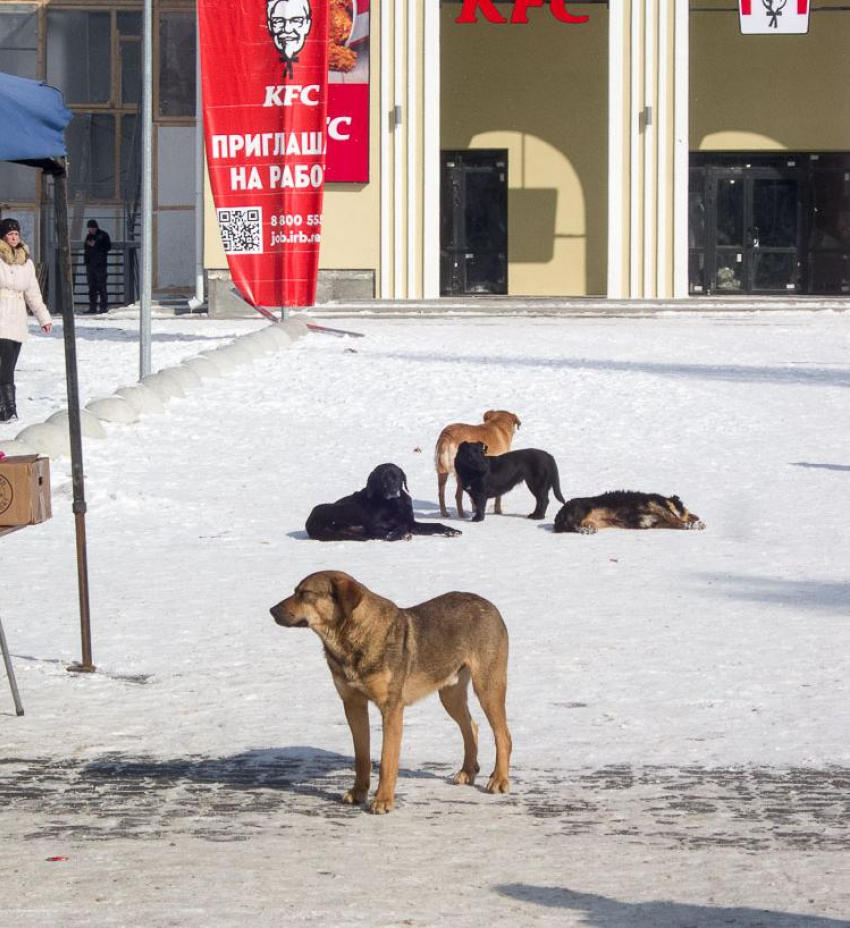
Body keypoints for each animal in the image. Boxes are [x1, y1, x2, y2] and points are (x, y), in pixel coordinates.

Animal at [272, 568, 510, 816]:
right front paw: (358, 793)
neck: (350, 640)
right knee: (471, 728)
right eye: (295, 591)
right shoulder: (353, 705)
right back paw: (467, 772)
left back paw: (499, 780)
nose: (271, 610)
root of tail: (490, 605)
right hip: (450, 694)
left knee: (503, 735)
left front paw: (383, 800)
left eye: (305, 593)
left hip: (487, 689)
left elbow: (387, 760)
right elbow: (362, 757)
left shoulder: (391, 709)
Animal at [304, 462, 460, 540]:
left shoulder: (412, 522)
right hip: (347, 510)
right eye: (382, 480)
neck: (395, 503)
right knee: (375, 533)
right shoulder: (376, 523)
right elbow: (397, 526)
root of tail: (309, 523)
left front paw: (451, 531)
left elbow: (436, 524)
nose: (393, 491)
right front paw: (398, 532)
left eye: (396, 477)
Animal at [548, 490, 704, 532]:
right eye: (687, 510)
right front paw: (692, 525)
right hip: (583, 508)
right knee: (574, 524)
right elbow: (674, 519)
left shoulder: (650, 523)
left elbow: (672, 522)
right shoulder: (654, 503)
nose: (696, 516)